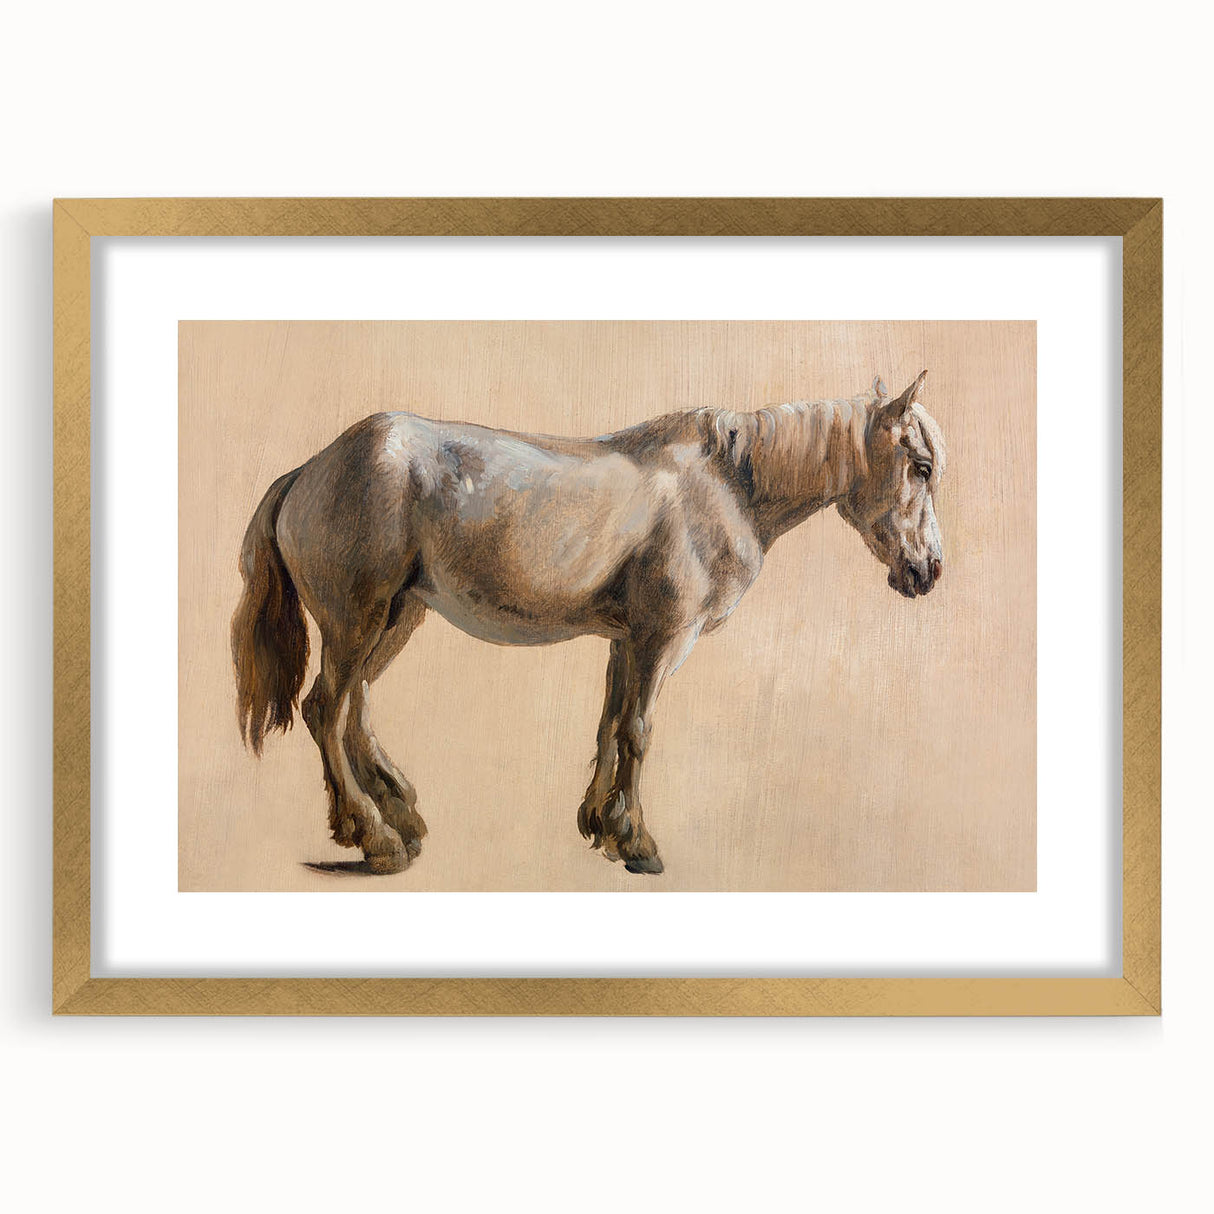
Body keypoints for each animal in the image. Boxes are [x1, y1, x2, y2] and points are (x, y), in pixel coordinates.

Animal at [231, 370, 946, 876]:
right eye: (922, 467)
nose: (928, 571)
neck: (724, 486)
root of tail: (309, 469)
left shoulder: (627, 641)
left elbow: (608, 723)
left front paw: (600, 824)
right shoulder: (661, 639)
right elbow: (637, 731)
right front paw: (637, 841)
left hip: (397, 618)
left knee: (353, 704)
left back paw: (391, 815)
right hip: (359, 620)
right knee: (326, 709)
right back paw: (377, 838)